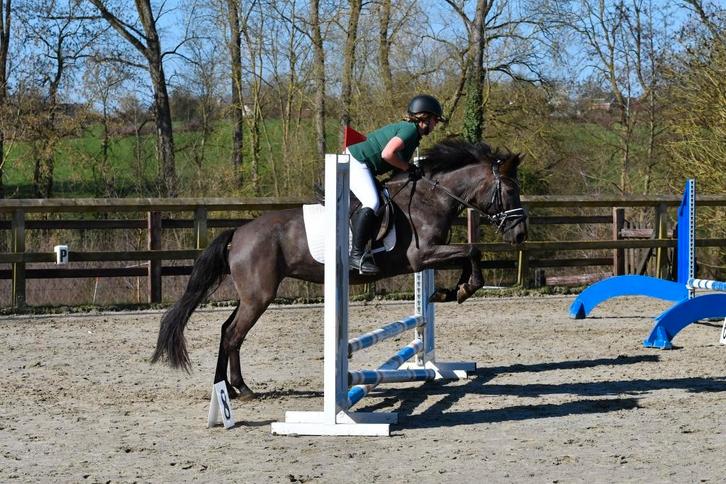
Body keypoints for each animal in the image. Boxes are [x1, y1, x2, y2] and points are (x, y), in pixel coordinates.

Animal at [151, 137, 528, 400]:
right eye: (510, 190)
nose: (521, 234)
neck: (430, 198)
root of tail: (239, 233)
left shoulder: (430, 256)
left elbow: (468, 254)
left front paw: (450, 291)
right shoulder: (422, 256)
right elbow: (472, 250)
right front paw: (460, 290)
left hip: (251, 296)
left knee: (227, 331)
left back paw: (226, 387)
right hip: (259, 296)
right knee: (233, 334)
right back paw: (240, 389)